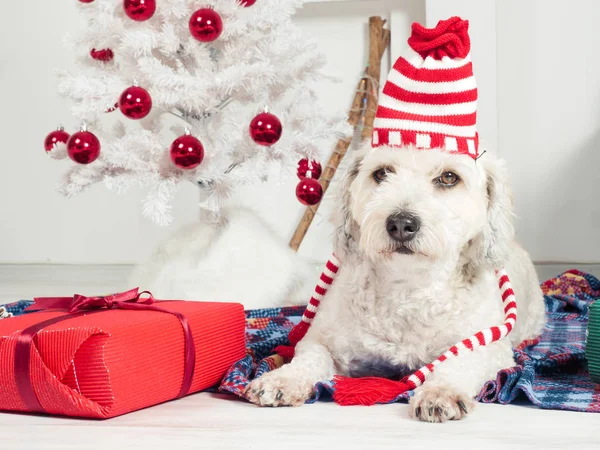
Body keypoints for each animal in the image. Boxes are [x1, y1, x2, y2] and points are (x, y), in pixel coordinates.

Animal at [247, 144, 548, 422]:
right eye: (381, 173)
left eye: (449, 177)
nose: (402, 223)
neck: (408, 286)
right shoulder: (323, 340)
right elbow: (311, 357)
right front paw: (282, 379)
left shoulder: (489, 347)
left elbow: (460, 361)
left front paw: (440, 392)